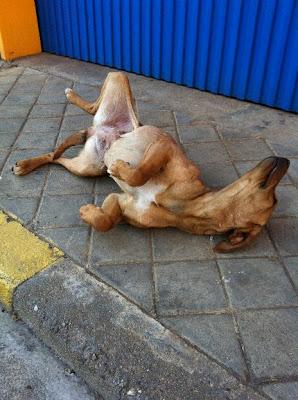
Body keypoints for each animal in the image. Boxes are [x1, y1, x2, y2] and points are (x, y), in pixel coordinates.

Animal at [12, 72, 290, 252]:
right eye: (275, 195)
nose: (285, 159)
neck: (186, 205)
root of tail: (101, 130)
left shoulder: (121, 202)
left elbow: (106, 220)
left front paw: (90, 212)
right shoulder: (163, 147)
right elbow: (141, 173)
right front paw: (121, 169)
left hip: (86, 168)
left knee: (56, 157)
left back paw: (28, 164)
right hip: (119, 82)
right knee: (93, 105)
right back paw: (71, 97)